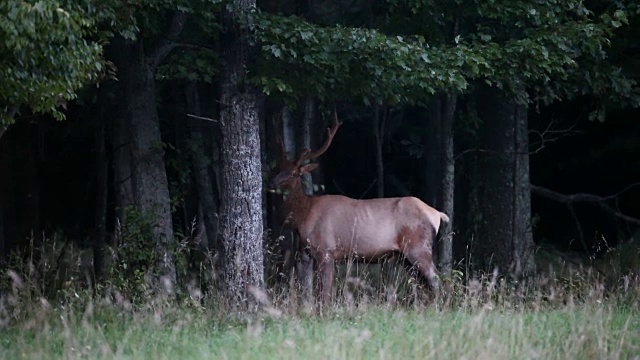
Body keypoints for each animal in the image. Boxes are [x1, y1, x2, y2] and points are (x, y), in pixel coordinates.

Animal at [272, 111, 450, 306]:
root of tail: (437, 214)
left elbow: (325, 294)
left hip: (419, 247)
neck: (304, 216)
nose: (272, 183)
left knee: (438, 282)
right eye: (279, 168)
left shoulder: (326, 250)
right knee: (424, 285)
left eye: (294, 173)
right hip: (406, 257)